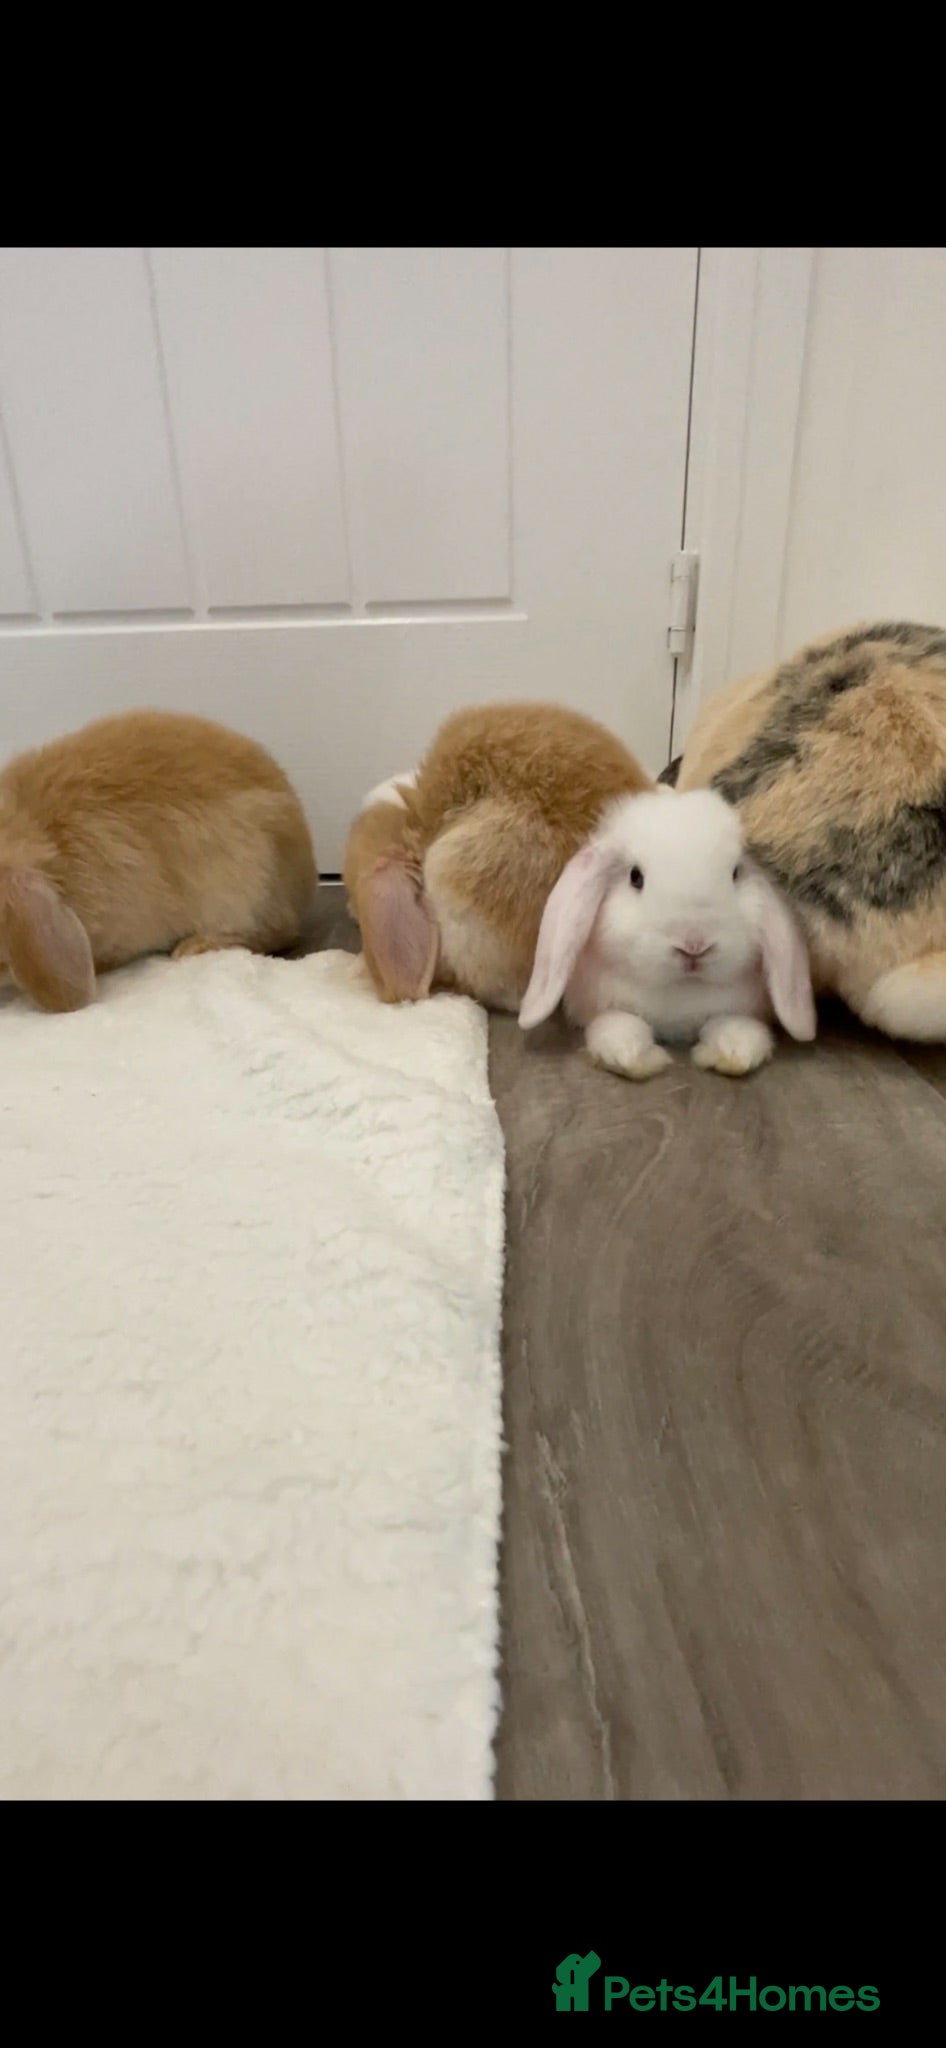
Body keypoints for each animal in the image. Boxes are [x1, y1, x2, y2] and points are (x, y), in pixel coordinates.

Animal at [518, 785, 816, 1078]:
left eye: (735, 874)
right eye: (635, 877)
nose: (694, 945)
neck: (680, 989)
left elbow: (732, 1023)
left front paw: (735, 1052)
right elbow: (620, 1023)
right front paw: (630, 1057)